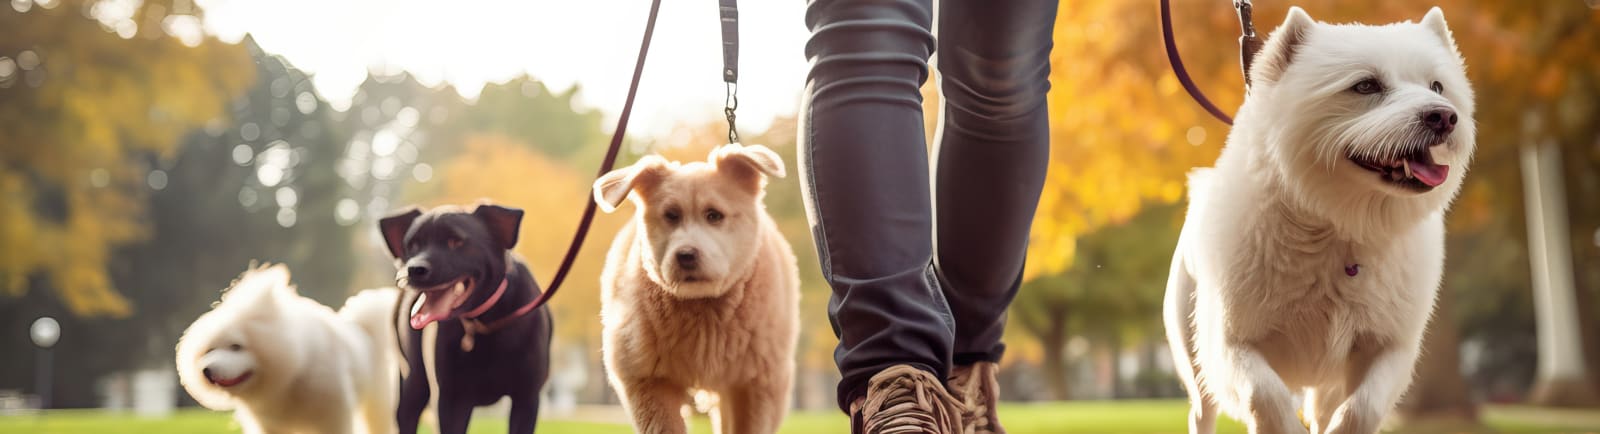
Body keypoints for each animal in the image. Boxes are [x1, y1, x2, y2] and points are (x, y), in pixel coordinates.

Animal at [174, 265, 396, 434]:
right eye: (209, 350)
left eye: (236, 346)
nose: (206, 370)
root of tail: (364, 330)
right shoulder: (269, 425)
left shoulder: (333, 417)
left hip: (377, 403)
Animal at [377, 204, 553, 434]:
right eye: (412, 245)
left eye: (455, 241)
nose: (414, 269)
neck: (483, 323)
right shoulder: (450, 400)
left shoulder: (526, 398)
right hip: (413, 383)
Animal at [595, 145, 800, 434]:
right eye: (671, 215)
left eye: (714, 215)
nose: (686, 255)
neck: (703, 309)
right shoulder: (648, 382)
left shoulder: (757, 384)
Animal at [1164, 5, 1472, 434]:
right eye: (1366, 86)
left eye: (1438, 86)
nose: (1444, 117)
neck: (1340, 226)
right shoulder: (1231, 342)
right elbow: (1265, 394)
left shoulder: (1389, 346)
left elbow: (1361, 407)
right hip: (1192, 353)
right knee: (1202, 410)